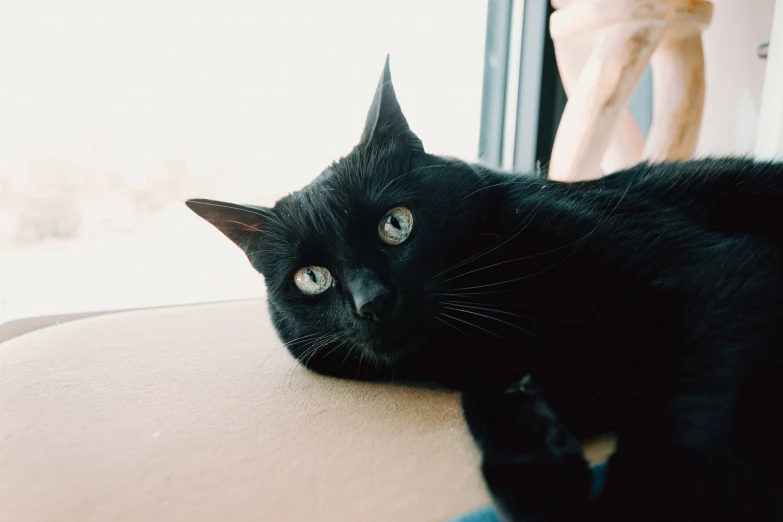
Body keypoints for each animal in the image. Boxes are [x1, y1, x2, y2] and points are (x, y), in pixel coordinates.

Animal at [188, 58, 783, 520]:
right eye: (312, 278)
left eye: (396, 224)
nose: (371, 302)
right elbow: (488, 396)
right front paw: (538, 469)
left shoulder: (710, 273)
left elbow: (686, 422)